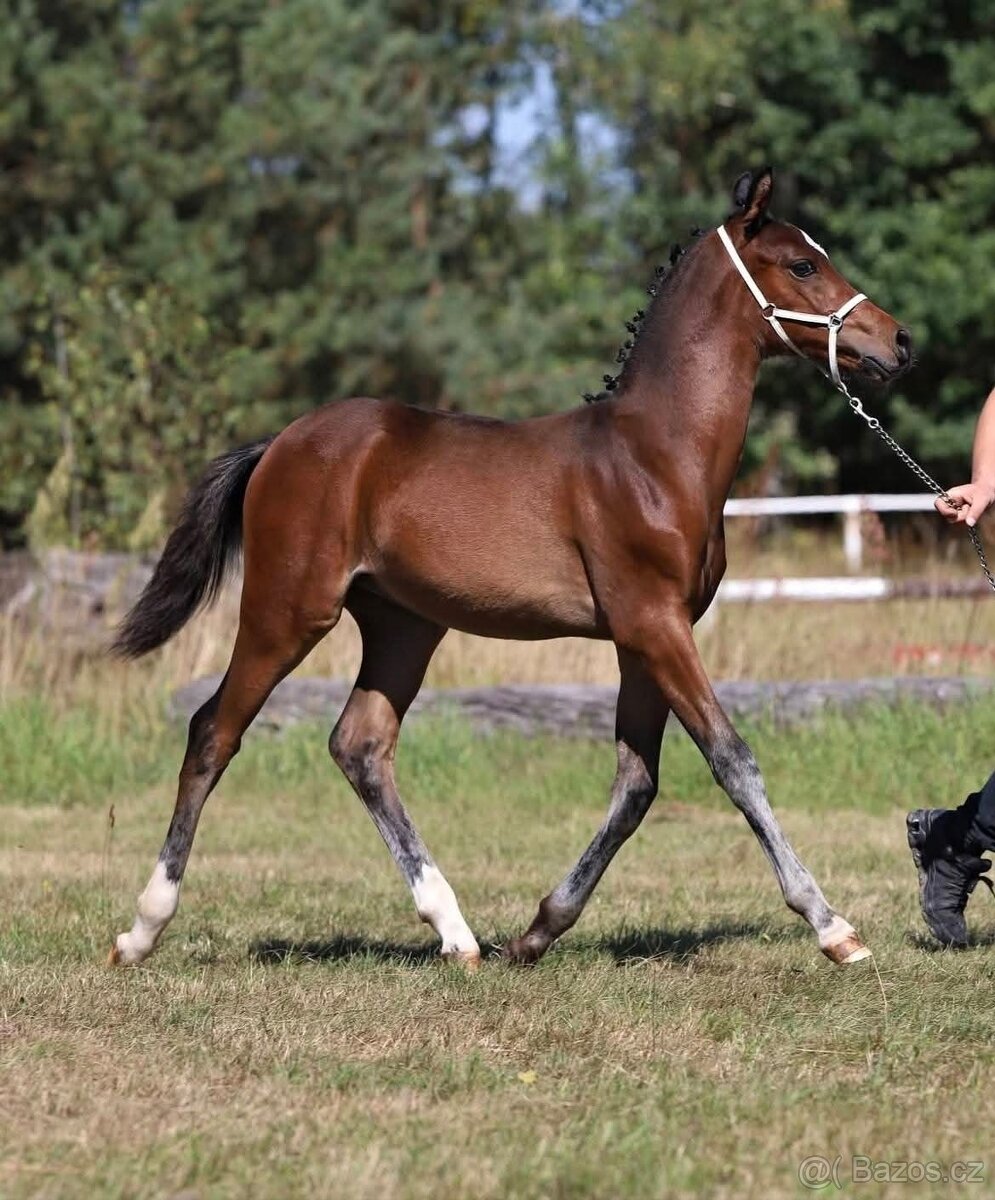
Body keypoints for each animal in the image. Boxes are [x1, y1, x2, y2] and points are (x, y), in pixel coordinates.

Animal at [108, 168, 910, 972]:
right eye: (802, 264)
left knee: (359, 745)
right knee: (213, 731)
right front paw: (833, 927)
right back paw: (142, 928)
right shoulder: (654, 624)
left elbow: (636, 783)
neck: (655, 454)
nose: (897, 341)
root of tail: (278, 444)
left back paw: (457, 934)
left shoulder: (640, 638)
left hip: (404, 626)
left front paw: (537, 931)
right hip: (287, 609)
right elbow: (731, 760)